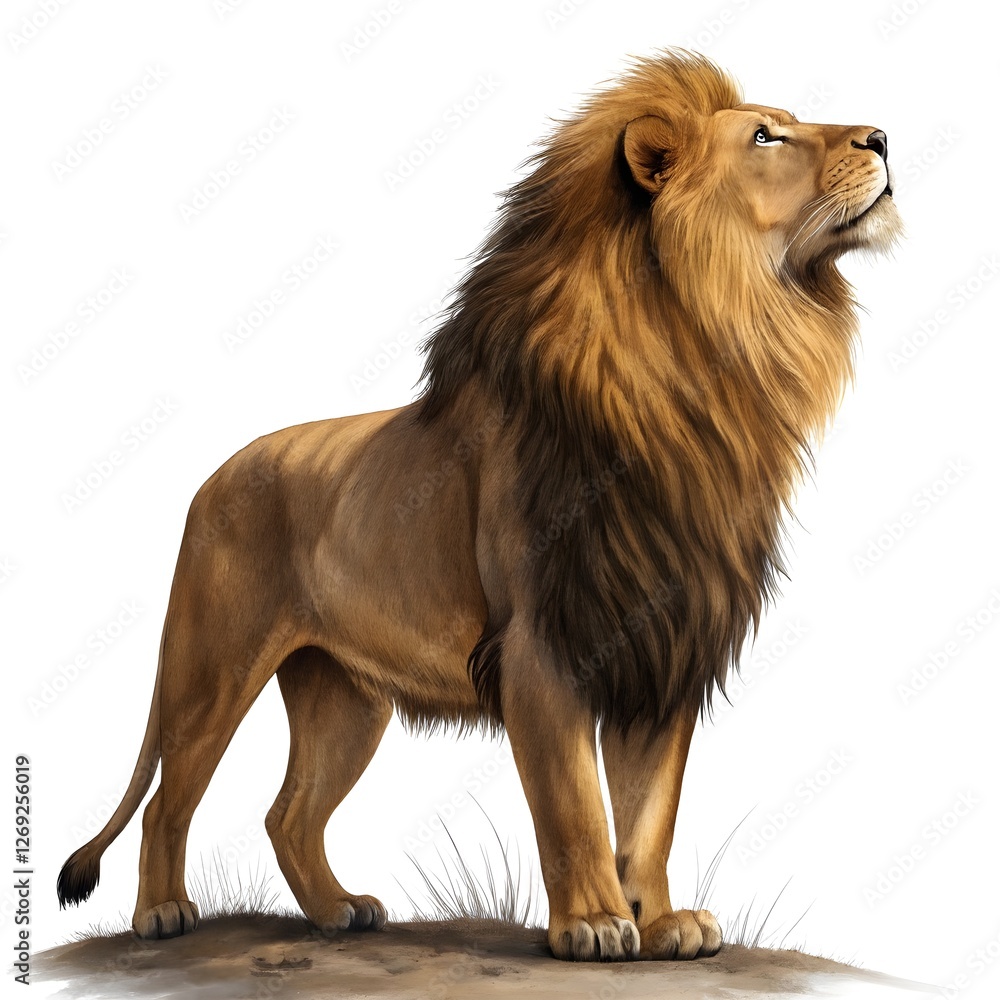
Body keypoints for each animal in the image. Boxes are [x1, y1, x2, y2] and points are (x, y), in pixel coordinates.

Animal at [57, 50, 901, 962]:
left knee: (288, 814)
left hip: (344, 694)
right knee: (167, 801)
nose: (885, 136)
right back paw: (161, 914)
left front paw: (662, 922)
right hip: (213, 670)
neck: (707, 356)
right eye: (765, 136)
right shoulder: (542, 647)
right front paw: (595, 922)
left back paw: (336, 910)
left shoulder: (663, 641)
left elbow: (650, 809)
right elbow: (574, 803)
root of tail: (211, 477)